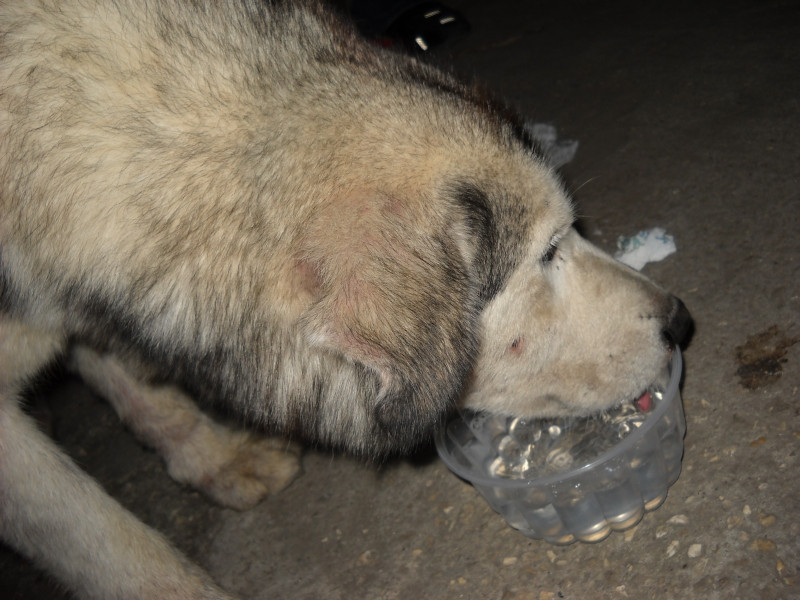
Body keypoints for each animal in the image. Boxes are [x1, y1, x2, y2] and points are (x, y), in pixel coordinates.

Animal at [0, 0, 691, 597]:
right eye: (547, 253)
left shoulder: (84, 302)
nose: (681, 323)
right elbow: (108, 541)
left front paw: (216, 457)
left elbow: (140, 386)